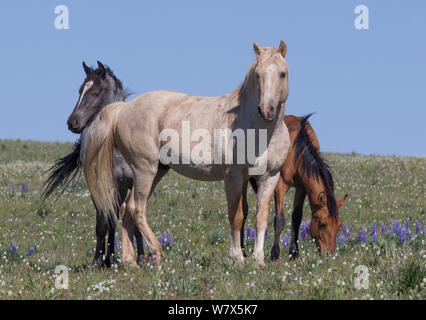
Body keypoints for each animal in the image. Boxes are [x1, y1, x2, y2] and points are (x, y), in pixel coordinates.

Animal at [42, 62, 145, 268]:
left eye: (95, 93)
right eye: (80, 90)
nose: (72, 122)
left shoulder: (134, 184)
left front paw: (142, 258)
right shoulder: (100, 186)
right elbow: (102, 224)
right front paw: (98, 260)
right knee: (111, 219)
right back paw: (109, 258)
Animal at [82, 42, 292, 268]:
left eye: (282, 73)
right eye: (258, 75)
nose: (266, 110)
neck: (259, 130)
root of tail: (123, 109)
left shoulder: (268, 177)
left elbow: (261, 218)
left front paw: (258, 260)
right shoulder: (234, 177)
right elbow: (236, 216)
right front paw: (236, 257)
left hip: (156, 172)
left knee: (126, 209)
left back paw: (131, 262)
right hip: (145, 170)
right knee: (137, 209)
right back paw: (157, 254)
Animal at [246, 115, 346, 260]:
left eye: (339, 225)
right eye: (322, 224)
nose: (330, 254)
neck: (296, 148)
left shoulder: (301, 187)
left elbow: (297, 217)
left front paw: (293, 252)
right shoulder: (280, 185)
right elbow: (280, 219)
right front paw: (275, 253)